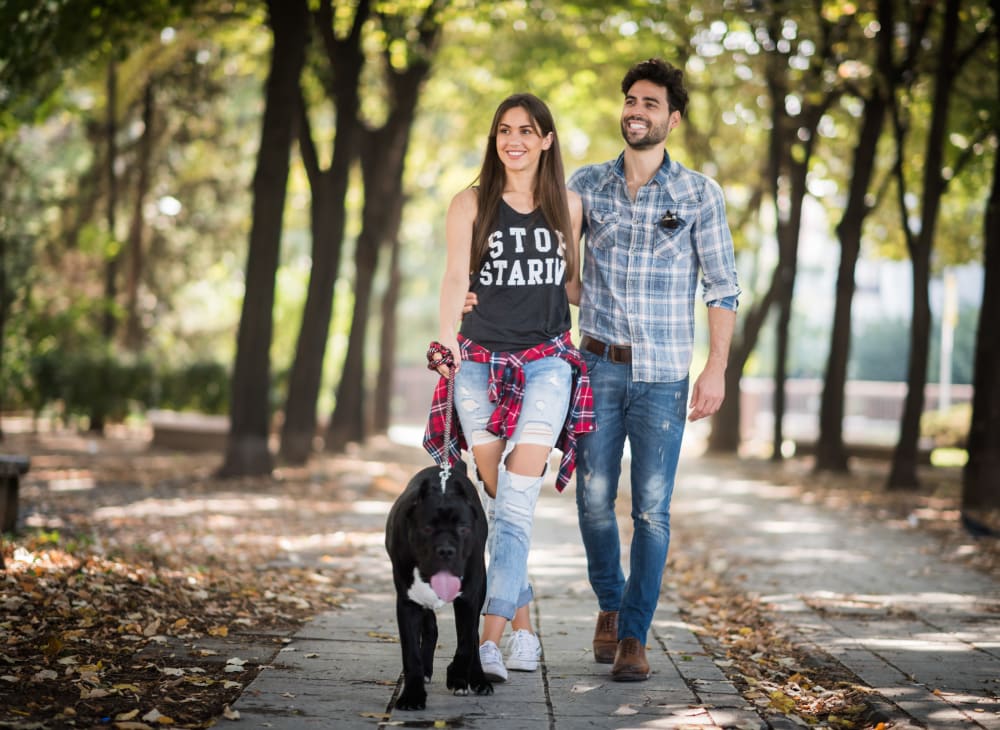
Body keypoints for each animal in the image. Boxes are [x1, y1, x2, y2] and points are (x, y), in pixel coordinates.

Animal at [382, 460, 492, 704]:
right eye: (427, 528)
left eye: (463, 528)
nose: (446, 550)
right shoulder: (408, 603)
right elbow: (411, 653)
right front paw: (412, 696)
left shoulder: (468, 599)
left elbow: (466, 643)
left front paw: (457, 676)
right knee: (431, 626)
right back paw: (426, 671)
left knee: (473, 637)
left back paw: (479, 679)